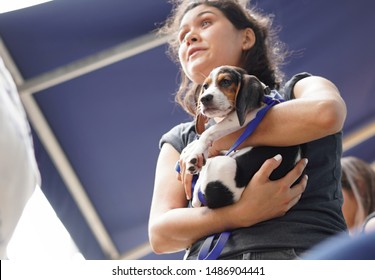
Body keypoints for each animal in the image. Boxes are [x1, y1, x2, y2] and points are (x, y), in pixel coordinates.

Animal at [181, 65, 302, 209]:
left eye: (226, 82)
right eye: (205, 86)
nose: (203, 99)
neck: (265, 96)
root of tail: (211, 199)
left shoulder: (244, 116)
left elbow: (208, 132)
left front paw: (195, 154)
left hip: (222, 163)